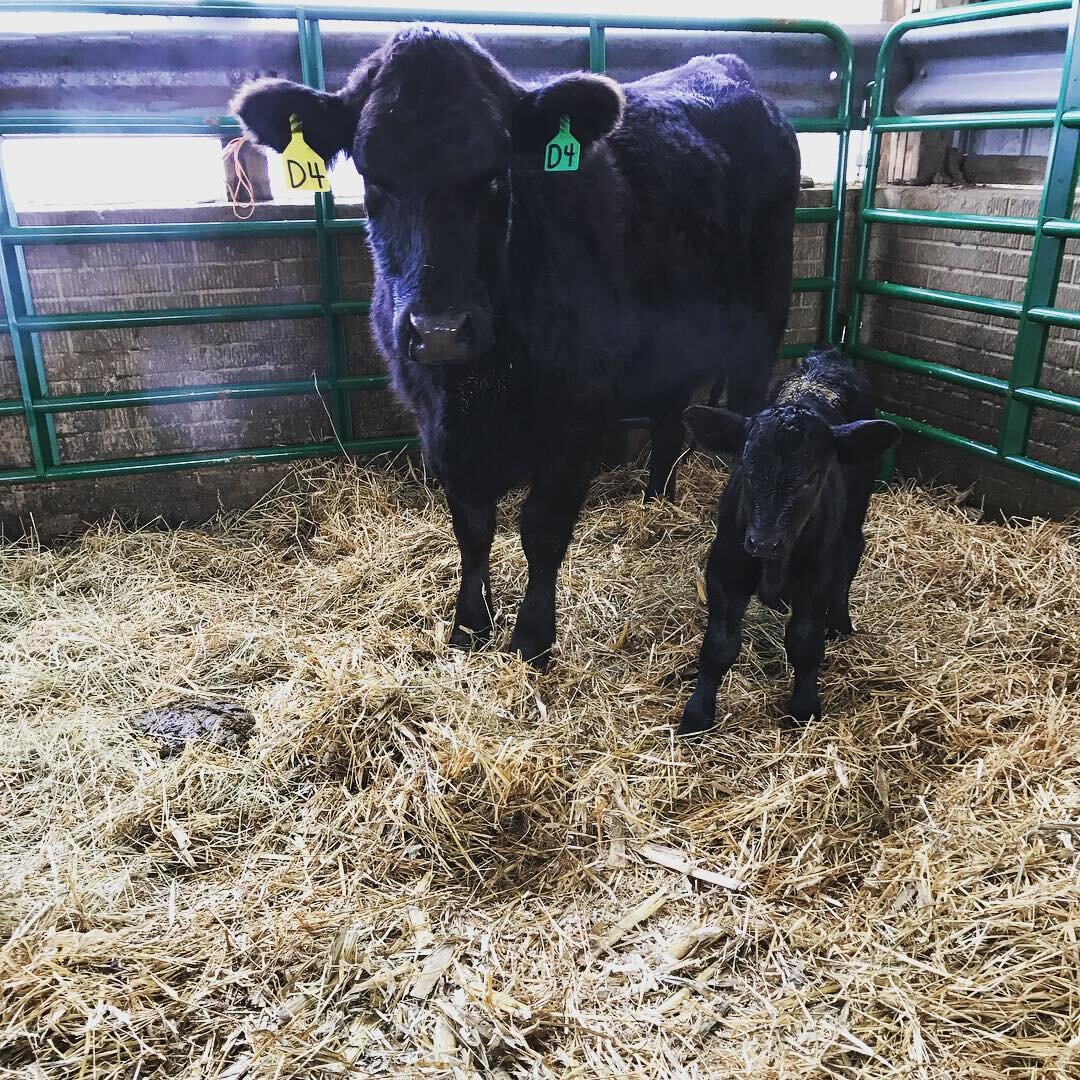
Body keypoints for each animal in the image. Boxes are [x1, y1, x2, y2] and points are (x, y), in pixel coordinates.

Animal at [232, 26, 800, 668]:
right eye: (373, 178)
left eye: (496, 174)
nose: (440, 329)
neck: (478, 384)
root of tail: (722, 66)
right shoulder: (438, 426)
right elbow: (473, 527)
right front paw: (469, 626)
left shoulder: (576, 421)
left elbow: (542, 529)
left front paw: (532, 636)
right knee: (667, 421)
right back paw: (657, 501)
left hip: (761, 327)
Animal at [679, 349, 901, 735]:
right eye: (746, 467)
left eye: (813, 477)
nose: (765, 542)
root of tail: (826, 359)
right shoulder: (725, 566)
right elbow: (719, 645)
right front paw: (697, 712)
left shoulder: (820, 573)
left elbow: (805, 640)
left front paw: (804, 706)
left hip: (856, 509)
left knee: (853, 552)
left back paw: (840, 621)